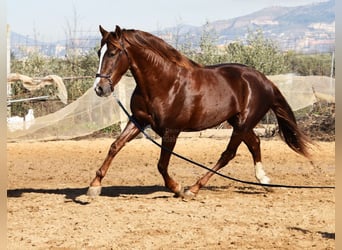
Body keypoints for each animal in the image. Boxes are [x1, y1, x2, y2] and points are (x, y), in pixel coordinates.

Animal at [88, 24, 310, 197]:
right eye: (99, 52)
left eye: (113, 52)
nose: (100, 88)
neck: (163, 83)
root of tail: (265, 81)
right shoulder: (138, 120)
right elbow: (115, 146)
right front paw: (94, 186)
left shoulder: (171, 131)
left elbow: (162, 164)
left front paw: (177, 188)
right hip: (239, 122)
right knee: (254, 143)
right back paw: (264, 181)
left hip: (243, 124)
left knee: (228, 154)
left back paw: (193, 189)